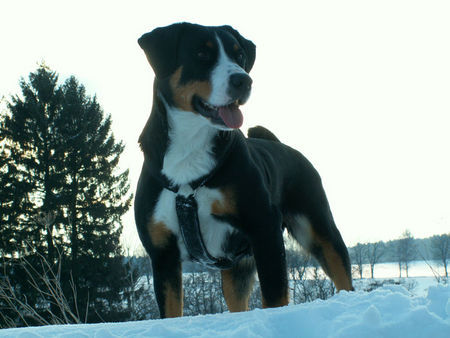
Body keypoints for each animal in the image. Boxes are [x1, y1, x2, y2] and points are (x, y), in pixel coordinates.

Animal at [135, 22, 354, 318]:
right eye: (201, 54)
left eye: (239, 56)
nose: (243, 81)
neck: (190, 147)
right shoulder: (162, 254)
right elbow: (171, 312)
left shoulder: (264, 227)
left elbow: (274, 298)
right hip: (238, 269)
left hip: (319, 229)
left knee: (343, 277)